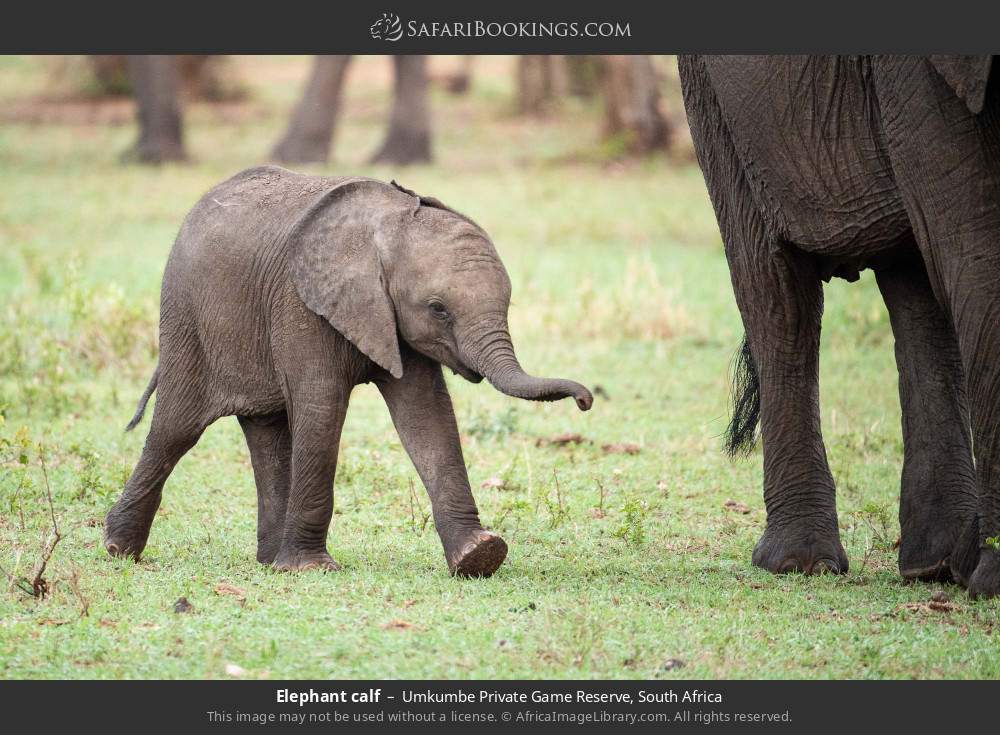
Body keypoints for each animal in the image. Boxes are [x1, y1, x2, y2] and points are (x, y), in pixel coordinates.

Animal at [103, 166, 592, 577]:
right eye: (439, 309)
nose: (586, 400)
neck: (386, 228)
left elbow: (427, 415)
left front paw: (480, 556)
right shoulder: (302, 303)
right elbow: (321, 407)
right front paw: (310, 570)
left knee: (266, 434)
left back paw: (269, 562)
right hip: (186, 318)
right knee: (175, 429)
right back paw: (118, 549)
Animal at [679, 55, 1000, 598]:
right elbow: (980, 262)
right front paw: (994, 582)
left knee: (914, 279)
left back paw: (935, 566)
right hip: (714, 98)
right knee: (779, 293)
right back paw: (799, 565)